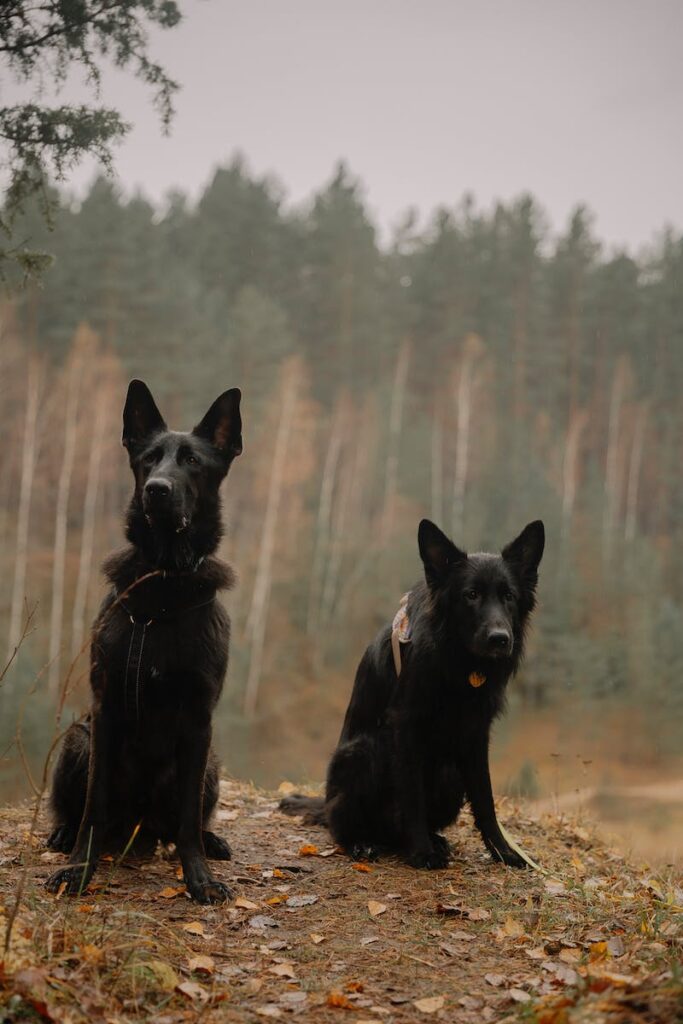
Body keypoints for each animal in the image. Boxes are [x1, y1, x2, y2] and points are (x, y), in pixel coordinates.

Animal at [46, 382, 242, 905]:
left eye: (192, 461)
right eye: (148, 459)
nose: (157, 489)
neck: (166, 585)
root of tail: (142, 825)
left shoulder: (198, 721)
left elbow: (189, 820)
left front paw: (199, 878)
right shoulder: (106, 710)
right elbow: (92, 809)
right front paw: (80, 869)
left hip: (212, 761)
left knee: (185, 821)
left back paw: (212, 841)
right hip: (79, 739)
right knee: (77, 810)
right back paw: (62, 834)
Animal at [282, 520, 544, 864]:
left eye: (509, 596)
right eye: (471, 595)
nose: (500, 639)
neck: (457, 659)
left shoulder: (476, 731)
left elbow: (485, 798)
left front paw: (502, 850)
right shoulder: (406, 726)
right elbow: (412, 794)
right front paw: (421, 852)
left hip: (449, 773)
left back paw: (431, 839)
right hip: (363, 753)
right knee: (340, 822)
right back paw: (363, 842)